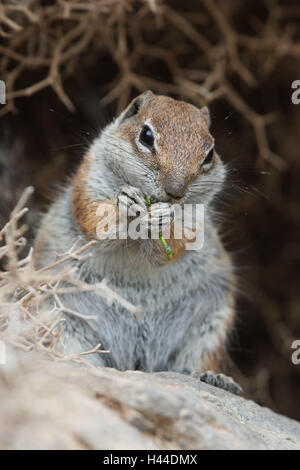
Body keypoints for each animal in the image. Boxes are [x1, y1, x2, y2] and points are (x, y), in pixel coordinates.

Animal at [34, 91, 241, 392]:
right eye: (146, 136)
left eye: (210, 153)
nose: (175, 192)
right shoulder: (88, 182)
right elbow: (93, 221)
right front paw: (126, 204)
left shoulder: (195, 221)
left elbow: (175, 246)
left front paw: (163, 220)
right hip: (60, 317)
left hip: (210, 324)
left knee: (196, 360)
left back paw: (213, 377)